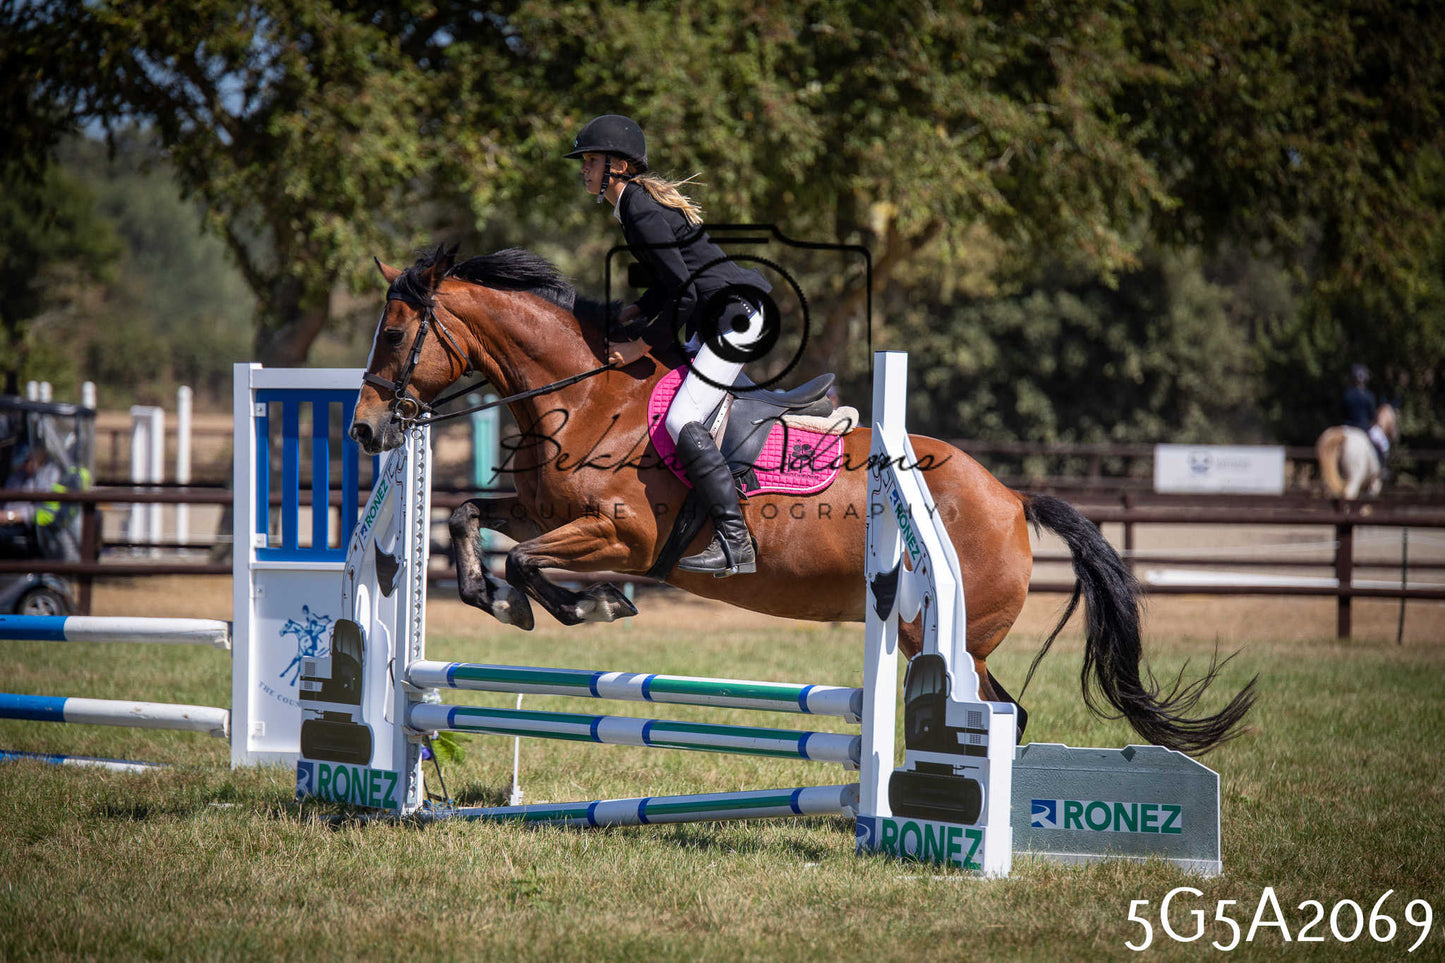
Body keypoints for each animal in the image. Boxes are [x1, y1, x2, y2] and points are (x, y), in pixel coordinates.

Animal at [349, 247, 1255, 756]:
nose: (364, 429)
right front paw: (492, 597)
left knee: (996, 711)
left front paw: (588, 606)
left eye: (392, 336)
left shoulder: (619, 535)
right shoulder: (543, 510)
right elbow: (468, 515)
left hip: (941, 635)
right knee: (1004, 711)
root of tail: (1010, 496)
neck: (589, 395)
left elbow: (535, 563)